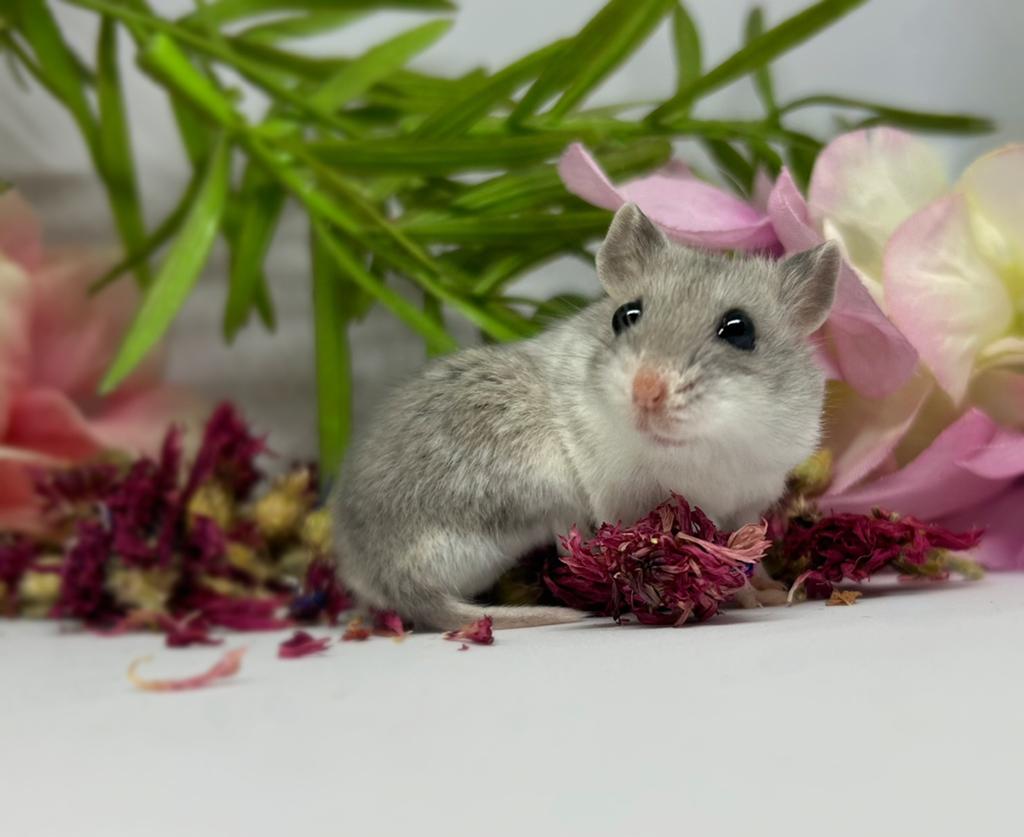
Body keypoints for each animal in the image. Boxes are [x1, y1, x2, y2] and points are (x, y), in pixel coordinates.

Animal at [331, 203, 840, 630]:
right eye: (625, 315)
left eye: (740, 330)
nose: (645, 391)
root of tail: (396, 576)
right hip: (546, 483)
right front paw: (746, 597)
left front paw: (773, 588)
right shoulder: (635, 506)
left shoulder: (751, 501)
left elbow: (749, 555)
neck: (712, 444)